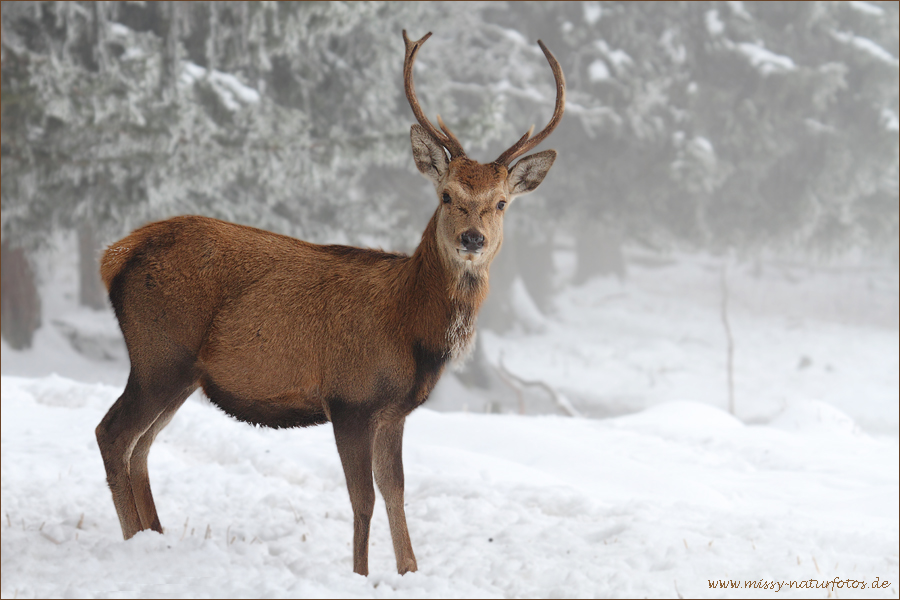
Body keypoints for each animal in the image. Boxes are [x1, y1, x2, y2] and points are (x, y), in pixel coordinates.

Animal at [95, 29, 568, 576]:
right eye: (447, 195)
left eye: (501, 202)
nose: (473, 238)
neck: (412, 330)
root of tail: (115, 255)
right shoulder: (351, 398)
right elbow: (362, 499)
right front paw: (361, 574)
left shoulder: (393, 410)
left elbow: (396, 491)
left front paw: (409, 571)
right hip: (158, 353)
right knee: (113, 434)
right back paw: (132, 540)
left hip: (181, 372)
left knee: (142, 446)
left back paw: (154, 535)